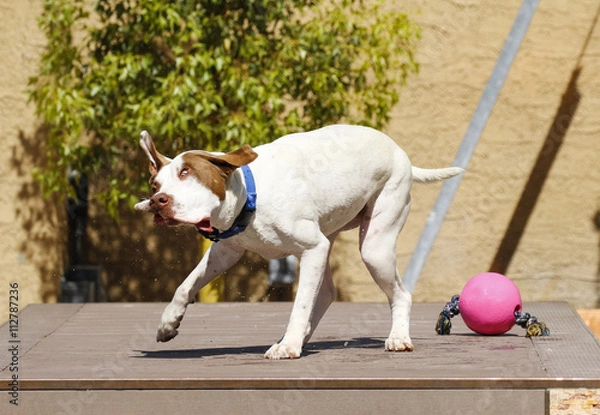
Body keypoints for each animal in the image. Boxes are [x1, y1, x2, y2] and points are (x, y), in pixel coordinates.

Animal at [136, 124, 464, 360]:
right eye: (155, 184)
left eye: (186, 172)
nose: (157, 201)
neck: (252, 197)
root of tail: (400, 153)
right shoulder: (226, 251)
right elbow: (186, 285)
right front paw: (168, 322)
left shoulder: (311, 248)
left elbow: (301, 303)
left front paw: (289, 347)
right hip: (329, 237)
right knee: (327, 292)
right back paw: (302, 335)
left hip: (374, 247)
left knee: (400, 294)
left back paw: (397, 337)